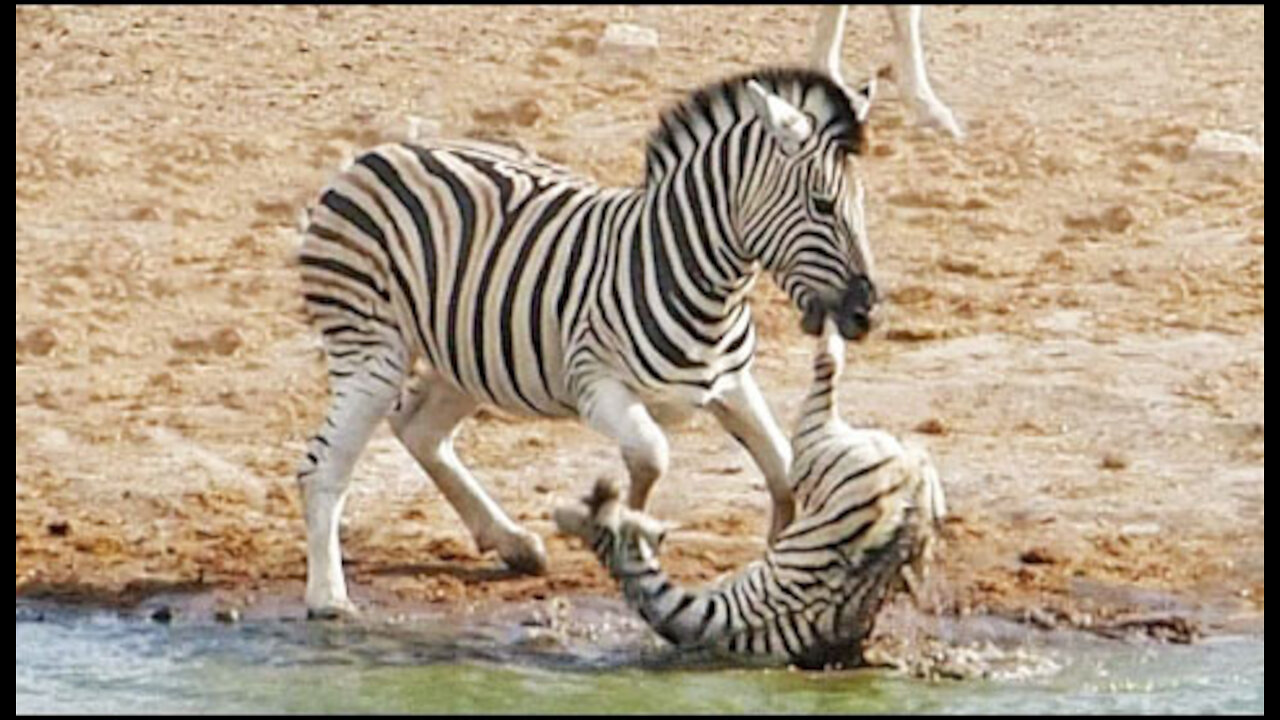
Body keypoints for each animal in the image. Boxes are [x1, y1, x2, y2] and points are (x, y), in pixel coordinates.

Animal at [296, 68, 880, 617]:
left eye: (860, 203)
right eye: (822, 204)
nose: (865, 311)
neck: (692, 272)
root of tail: (372, 157)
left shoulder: (731, 383)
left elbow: (782, 470)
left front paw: (777, 550)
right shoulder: (596, 384)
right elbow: (651, 455)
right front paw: (633, 538)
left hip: (468, 353)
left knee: (420, 430)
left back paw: (512, 543)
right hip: (374, 350)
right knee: (322, 468)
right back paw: (328, 597)